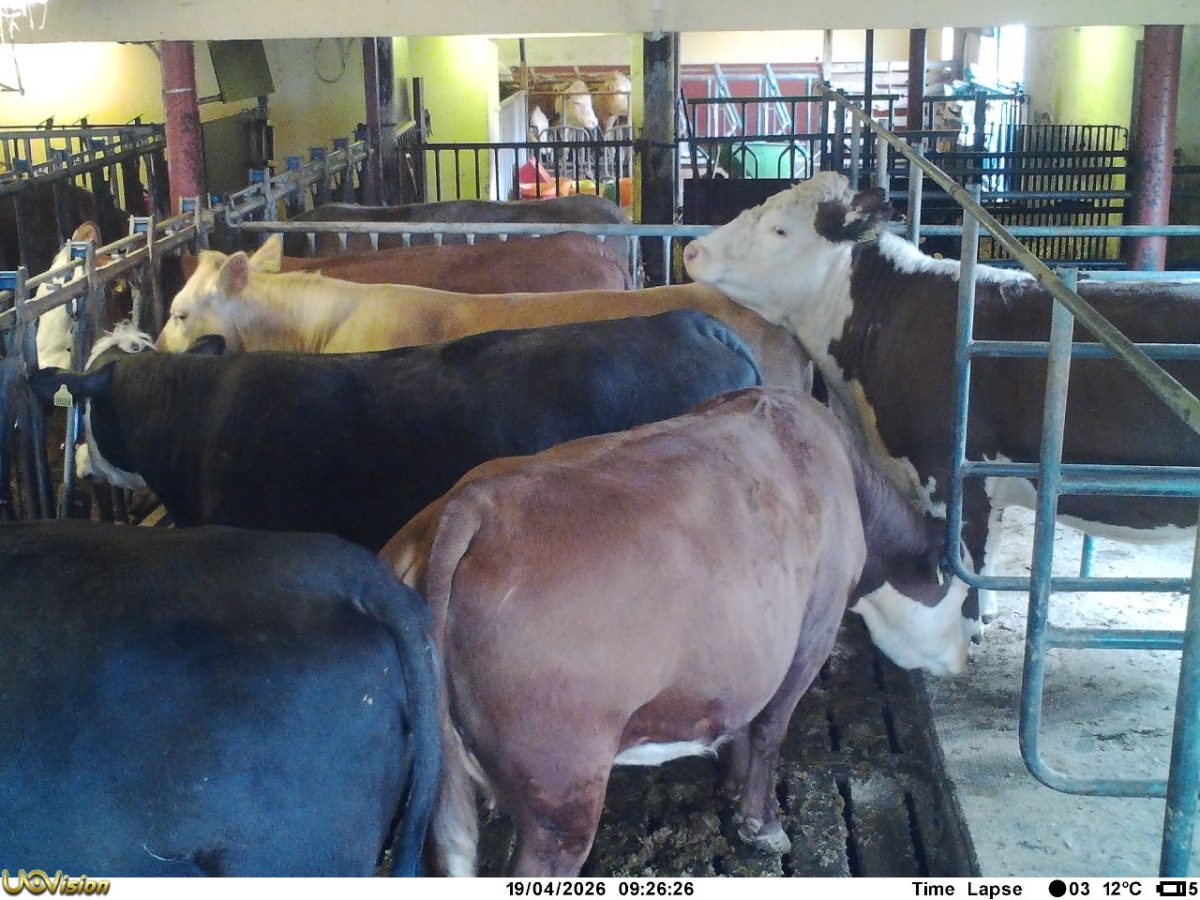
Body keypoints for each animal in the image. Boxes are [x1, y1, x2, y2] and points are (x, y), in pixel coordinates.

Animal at [380, 386, 966, 876]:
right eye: (966, 597)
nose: (968, 653)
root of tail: (471, 504)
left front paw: (732, 785)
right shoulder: (814, 627)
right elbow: (770, 727)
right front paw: (762, 825)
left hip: (438, 792)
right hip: (561, 789)